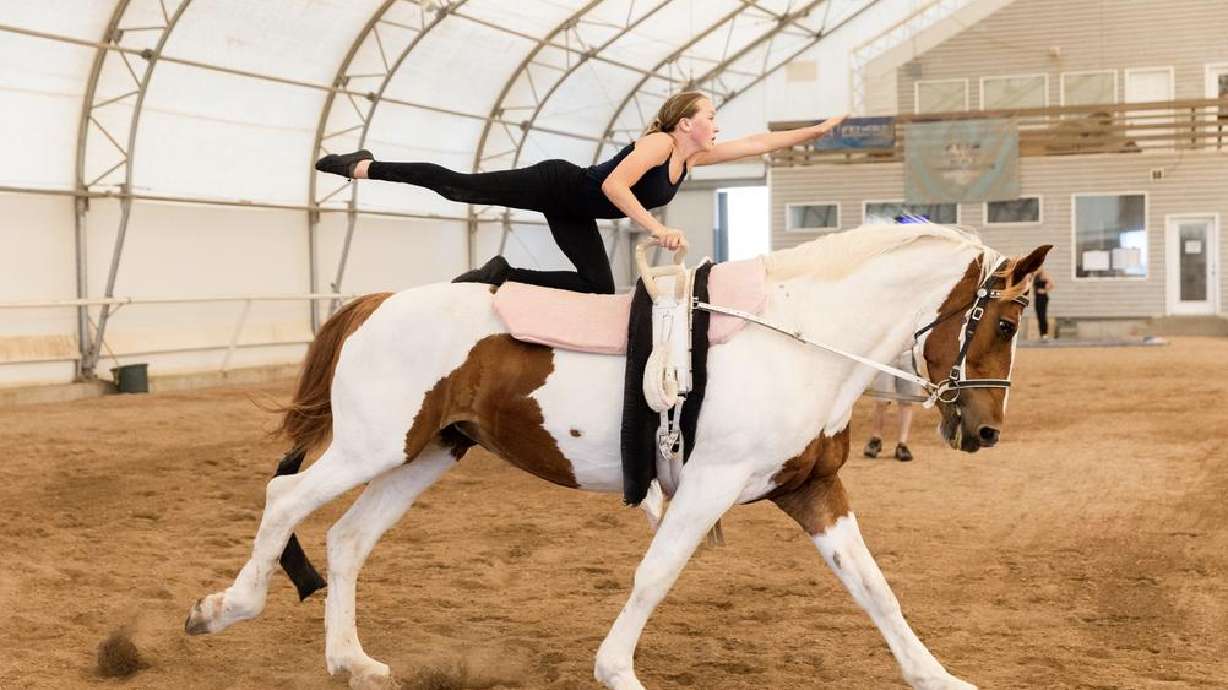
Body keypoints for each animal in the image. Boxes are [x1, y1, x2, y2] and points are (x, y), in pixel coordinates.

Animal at [184, 222, 1051, 690]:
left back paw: (351, 660)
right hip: (373, 445)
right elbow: (655, 574)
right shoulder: (709, 486)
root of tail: (374, 302)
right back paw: (225, 609)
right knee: (286, 504)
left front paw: (934, 674)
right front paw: (617, 670)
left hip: (423, 454)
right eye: (1007, 323)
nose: (986, 431)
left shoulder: (813, 489)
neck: (796, 337)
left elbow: (874, 589)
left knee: (347, 538)